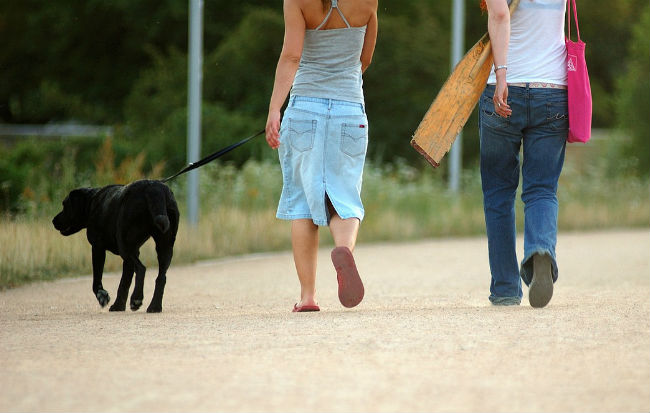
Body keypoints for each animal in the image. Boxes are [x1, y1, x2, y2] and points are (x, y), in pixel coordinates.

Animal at [52, 179, 178, 310]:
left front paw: (102, 296)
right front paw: (118, 306)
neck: (91, 202)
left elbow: (97, 280)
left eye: (65, 205)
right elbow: (124, 283)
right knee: (161, 278)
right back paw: (154, 307)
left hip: (125, 246)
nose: (53, 220)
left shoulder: (97, 247)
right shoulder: (134, 252)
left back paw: (136, 299)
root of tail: (153, 187)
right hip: (164, 246)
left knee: (141, 268)